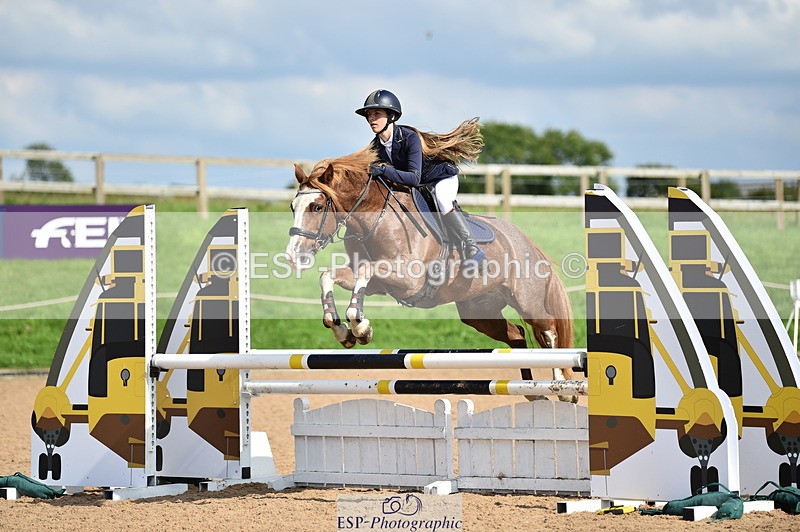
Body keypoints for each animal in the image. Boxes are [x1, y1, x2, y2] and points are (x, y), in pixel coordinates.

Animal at [285, 147, 577, 401]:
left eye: (317, 207)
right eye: (292, 207)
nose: (293, 256)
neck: (373, 220)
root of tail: (527, 242)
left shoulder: (408, 279)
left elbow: (365, 273)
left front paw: (360, 327)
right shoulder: (379, 283)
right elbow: (329, 275)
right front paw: (342, 330)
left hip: (528, 302)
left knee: (548, 330)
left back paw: (563, 389)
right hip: (479, 311)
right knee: (516, 335)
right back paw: (532, 391)